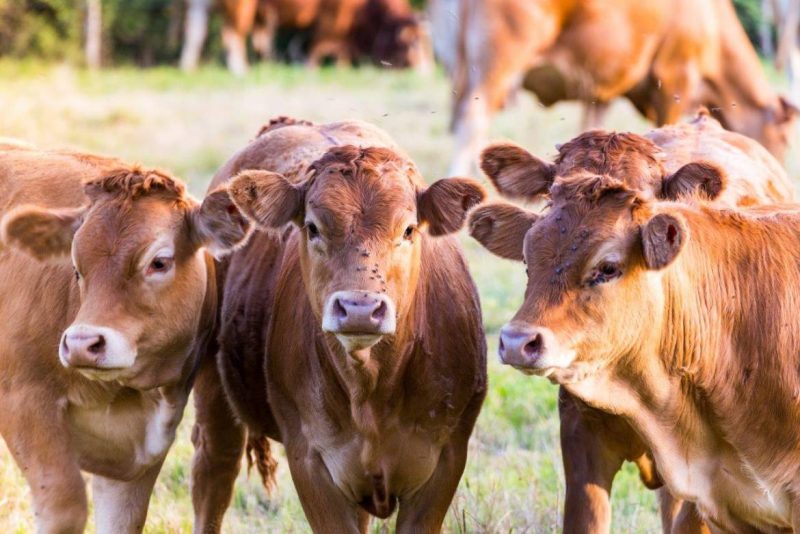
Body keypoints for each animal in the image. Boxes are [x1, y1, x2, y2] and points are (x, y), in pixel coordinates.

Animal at [0, 143, 250, 533]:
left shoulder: (137, 458)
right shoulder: (23, 399)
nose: (82, 344)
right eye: (75, 267)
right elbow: (65, 503)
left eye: (159, 262)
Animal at [189, 117, 487, 532]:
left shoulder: (444, 461)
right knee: (214, 473)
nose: (360, 308)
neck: (372, 388)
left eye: (409, 230)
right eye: (313, 228)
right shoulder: (310, 462)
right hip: (214, 390)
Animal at [444, 0, 798, 175]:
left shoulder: (601, 88)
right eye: (783, 137)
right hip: (500, 63)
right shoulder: (675, 77)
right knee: (472, 120)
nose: (779, 166)